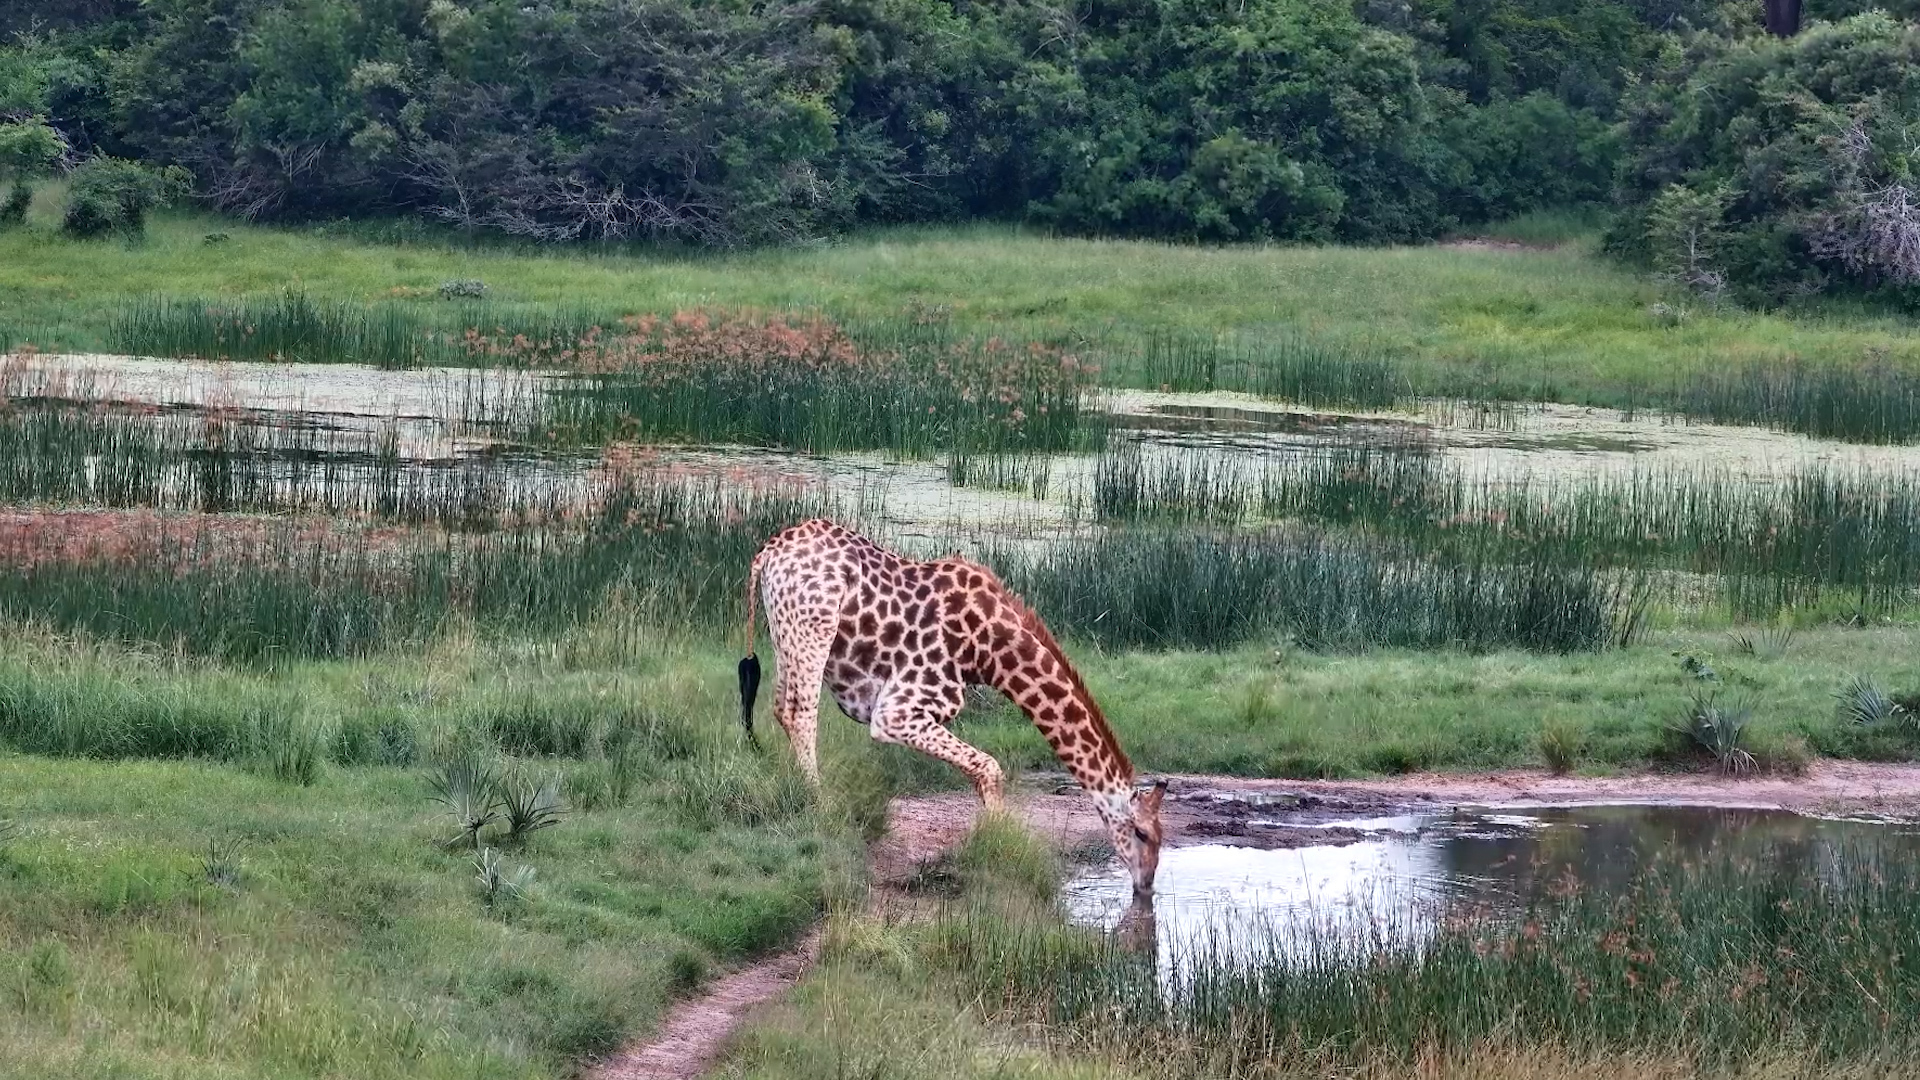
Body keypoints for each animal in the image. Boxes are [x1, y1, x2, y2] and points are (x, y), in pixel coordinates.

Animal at [738, 519, 1167, 895]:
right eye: (1142, 832)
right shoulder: (896, 711)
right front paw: (1000, 839)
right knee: (800, 710)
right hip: (814, 627)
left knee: (781, 707)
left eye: (1162, 836)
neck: (989, 652)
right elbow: (990, 767)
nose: (1146, 886)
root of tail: (768, 551)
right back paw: (820, 801)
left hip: (785, 633)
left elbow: (983, 771)